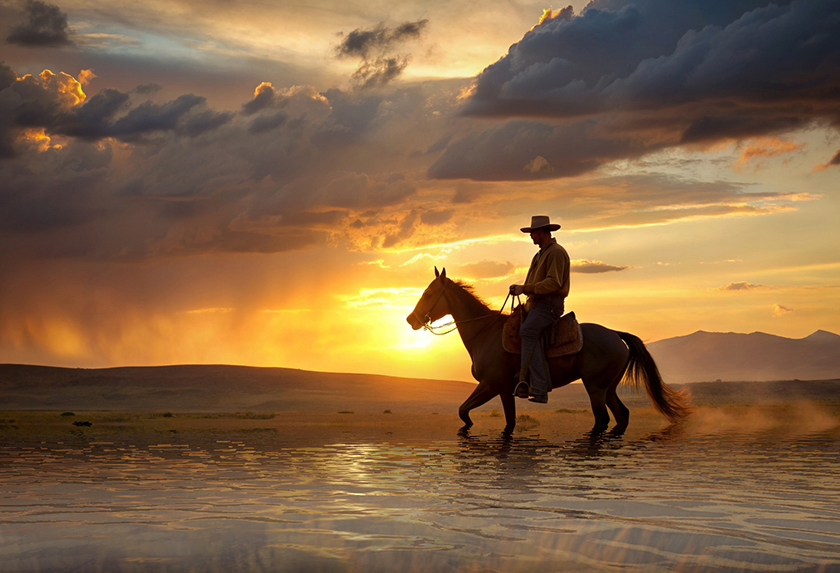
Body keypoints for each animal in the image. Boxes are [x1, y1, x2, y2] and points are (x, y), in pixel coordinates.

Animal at [406, 268, 688, 434]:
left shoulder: (490, 384)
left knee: (602, 420)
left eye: (428, 293)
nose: (411, 320)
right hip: (608, 388)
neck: (484, 332)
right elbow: (508, 421)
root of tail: (615, 335)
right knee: (622, 416)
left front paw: (467, 429)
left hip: (595, 387)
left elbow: (464, 411)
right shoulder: (503, 390)